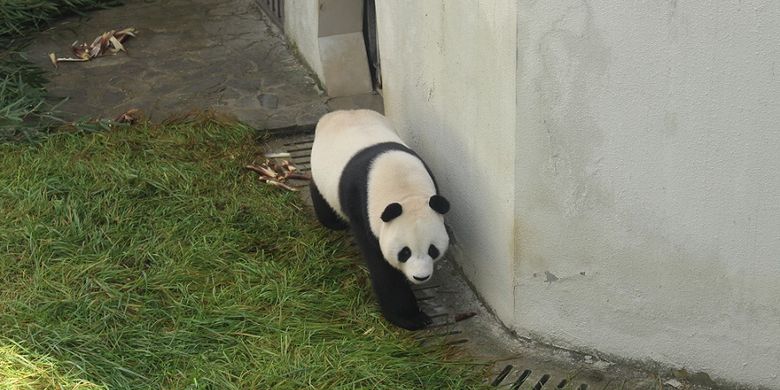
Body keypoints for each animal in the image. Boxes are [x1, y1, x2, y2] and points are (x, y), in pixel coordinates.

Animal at [308, 109, 448, 330]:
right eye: (404, 252)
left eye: (432, 249)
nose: (421, 276)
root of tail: (339, 112)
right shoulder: (362, 207)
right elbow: (382, 267)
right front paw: (411, 317)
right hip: (323, 168)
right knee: (319, 189)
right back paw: (333, 222)